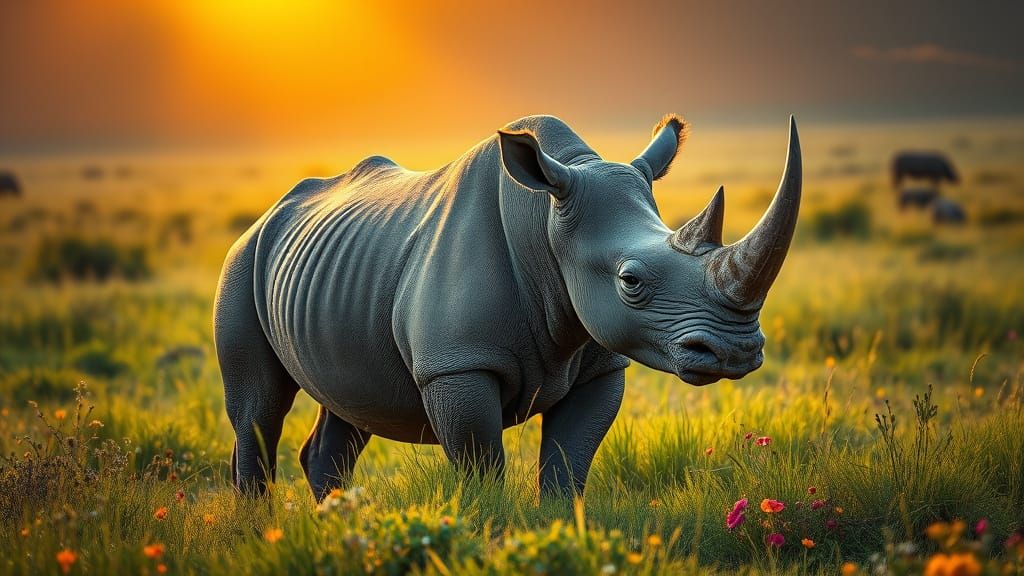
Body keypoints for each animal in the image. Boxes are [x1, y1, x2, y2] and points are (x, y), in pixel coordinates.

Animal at [214, 114, 802, 500]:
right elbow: (482, 471)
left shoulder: (600, 366)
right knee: (258, 412)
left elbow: (567, 469)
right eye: (630, 282)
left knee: (350, 406)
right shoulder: (456, 366)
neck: (546, 221)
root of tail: (268, 214)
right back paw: (257, 535)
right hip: (240, 264)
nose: (736, 353)